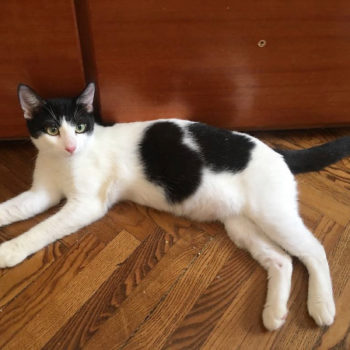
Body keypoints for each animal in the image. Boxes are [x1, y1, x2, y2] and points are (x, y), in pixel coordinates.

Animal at [0, 82, 350, 330]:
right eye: (51, 129)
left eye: (80, 126)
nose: (71, 146)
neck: (62, 162)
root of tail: (277, 151)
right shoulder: (41, 193)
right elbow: (14, 209)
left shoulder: (86, 204)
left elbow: (44, 228)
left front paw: (11, 250)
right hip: (241, 225)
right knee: (281, 260)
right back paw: (274, 314)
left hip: (272, 215)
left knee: (313, 250)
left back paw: (321, 305)